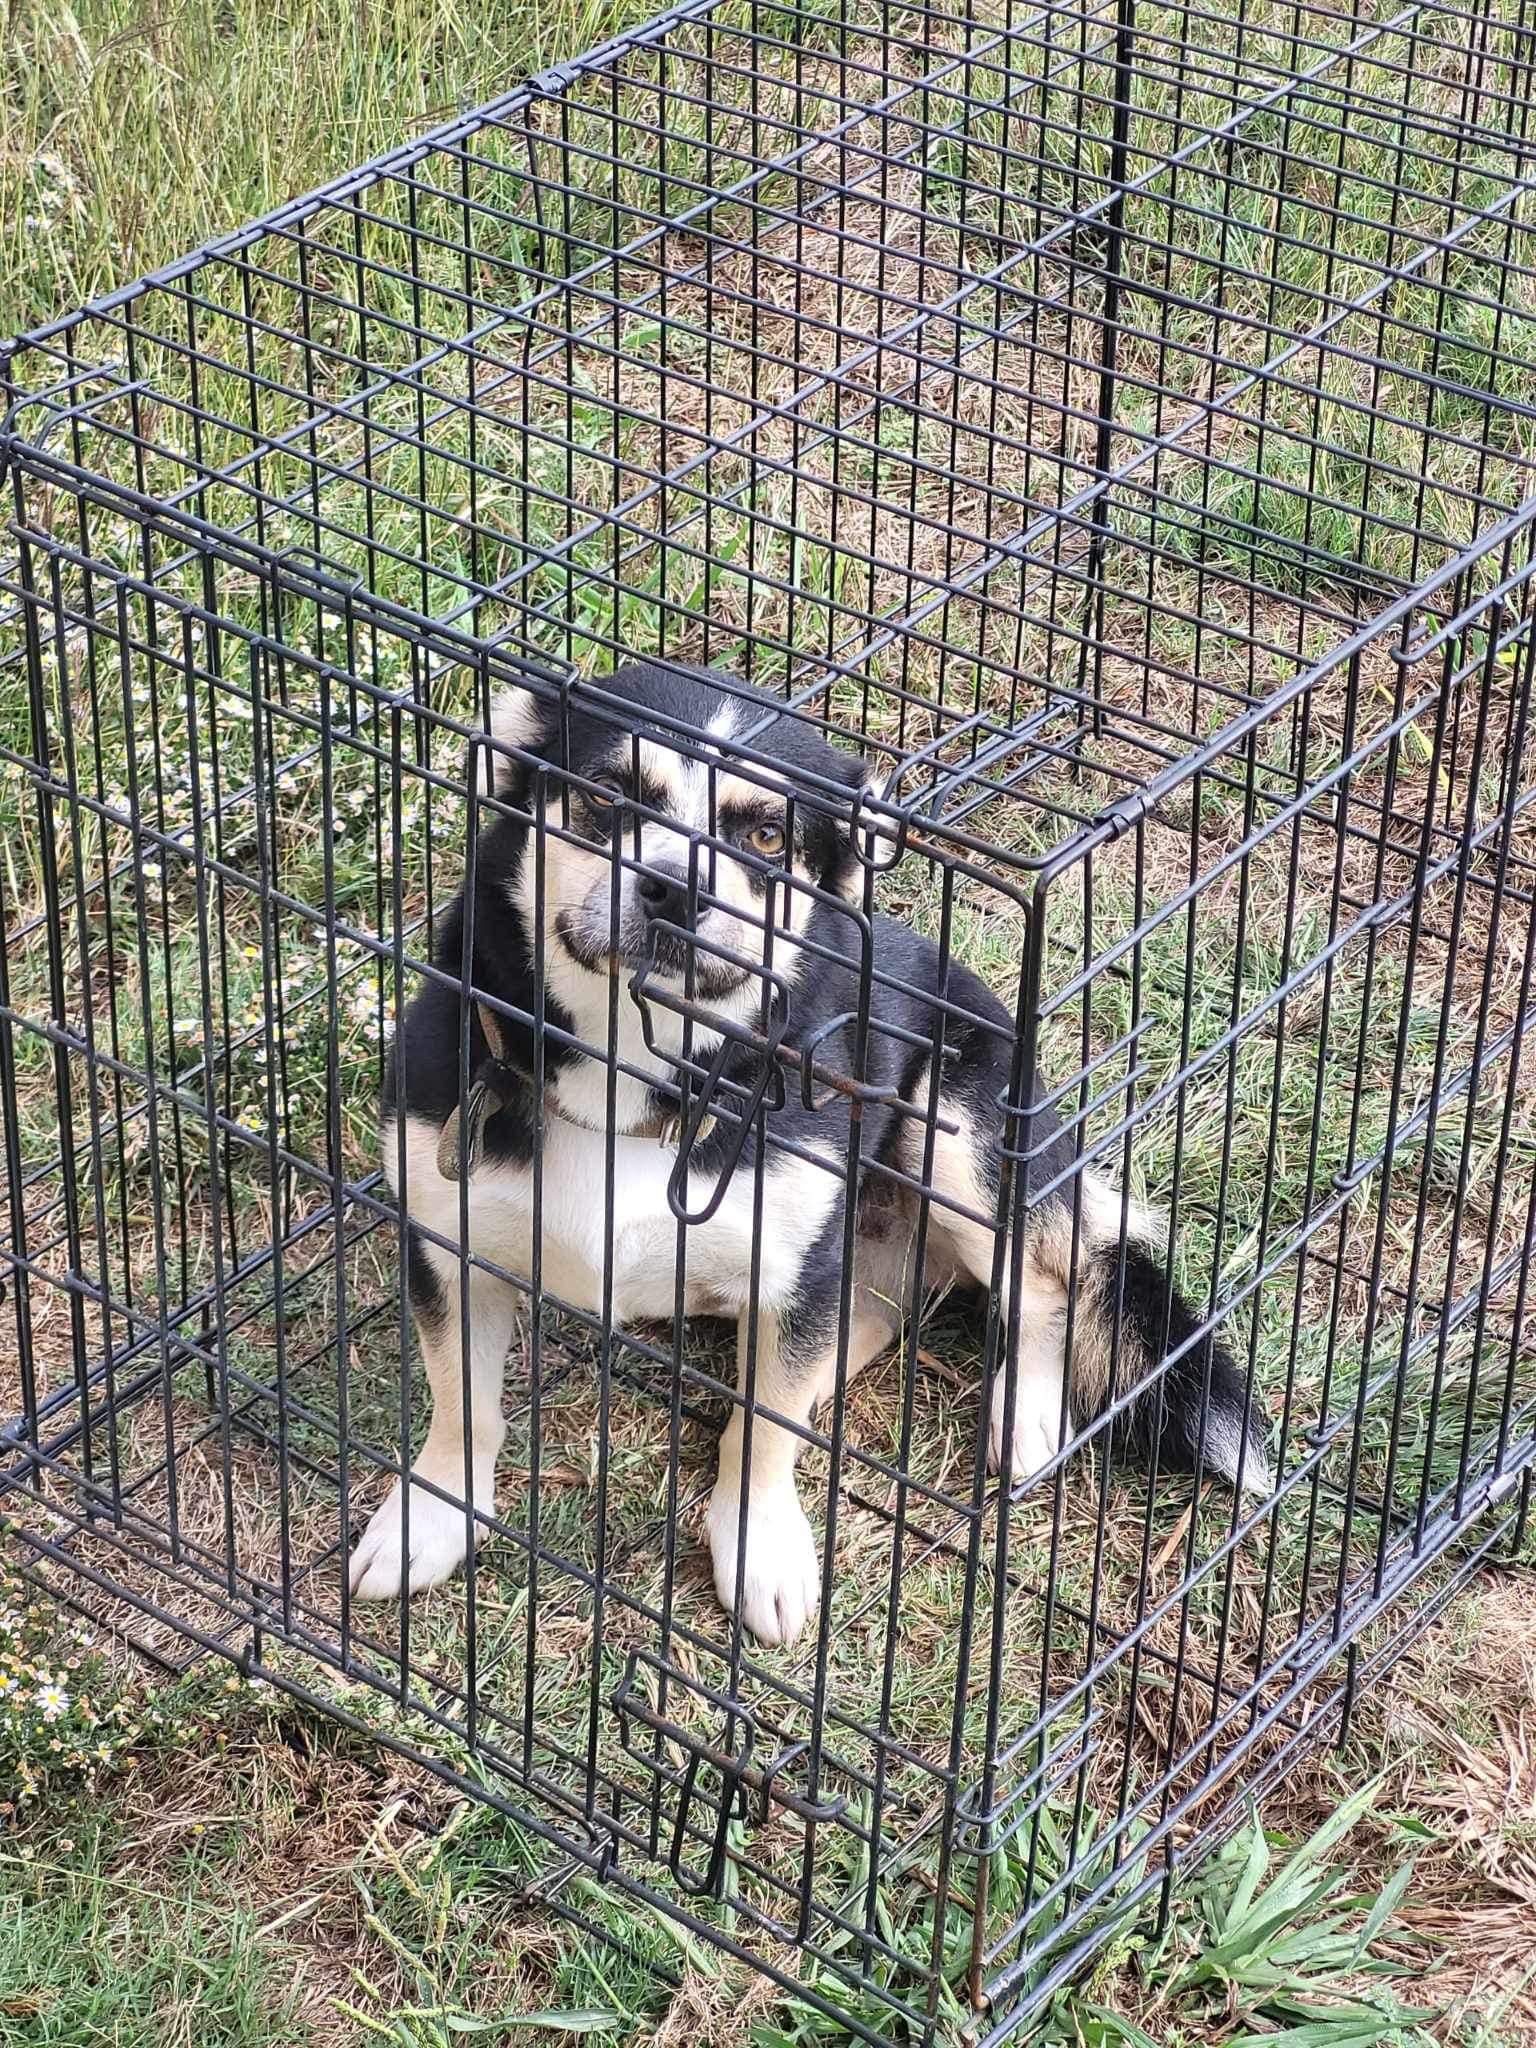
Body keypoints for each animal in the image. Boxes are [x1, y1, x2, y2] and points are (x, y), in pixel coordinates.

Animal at [352, 667, 1277, 1646]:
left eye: (766, 833)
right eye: (605, 795)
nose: (674, 889)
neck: (633, 1074)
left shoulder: (795, 1265)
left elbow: (765, 1430)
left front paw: (759, 1548)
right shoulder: (446, 1248)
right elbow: (461, 1405)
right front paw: (430, 1520)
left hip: (956, 1136)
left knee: (1043, 1285)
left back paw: (1024, 1412)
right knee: (869, 1317)